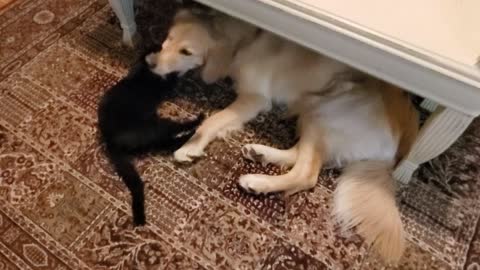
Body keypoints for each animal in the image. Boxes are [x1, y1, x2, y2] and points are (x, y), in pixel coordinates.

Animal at [97, 58, 202, 226]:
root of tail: (111, 142)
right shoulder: (167, 82)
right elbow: (175, 75)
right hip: (155, 126)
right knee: (173, 134)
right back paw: (197, 123)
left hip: (152, 133)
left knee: (167, 143)